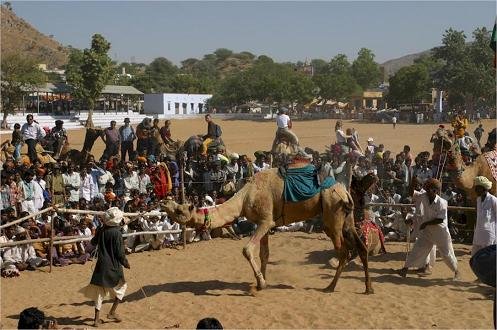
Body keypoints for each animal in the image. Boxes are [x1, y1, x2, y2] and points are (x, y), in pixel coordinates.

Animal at [163, 168, 372, 294]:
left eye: (179, 210)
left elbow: (247, 250)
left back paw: (330, 286)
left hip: (332, 214)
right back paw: (368, 288)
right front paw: (262, 281)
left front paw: (261, 282)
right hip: (347, 218)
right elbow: (264, 254)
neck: (245, 197)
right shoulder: (262, 223)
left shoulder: (265, 220)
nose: (164, 202)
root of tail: (344, 192)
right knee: (361, 247)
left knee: (343, 251)